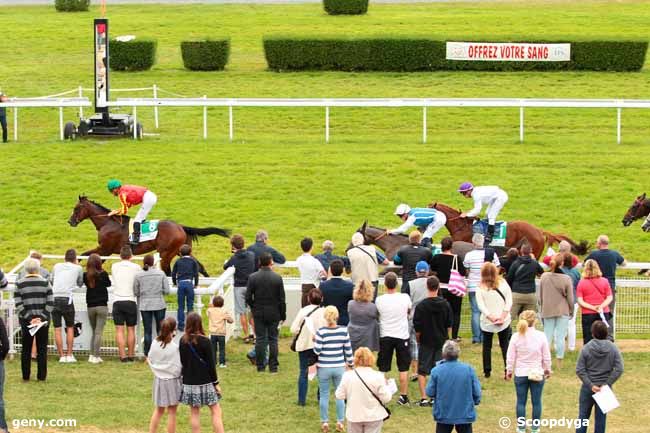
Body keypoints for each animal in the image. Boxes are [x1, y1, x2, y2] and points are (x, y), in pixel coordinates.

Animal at [67, 196, 230, 274]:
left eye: (76, 208)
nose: (70, 221)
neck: (108, 223)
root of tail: (181, 227)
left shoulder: (105, 249)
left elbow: (88, 257)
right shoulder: (104, 249)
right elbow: (85, 255)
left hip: (166, 253)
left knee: (168, 271)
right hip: (181, 250)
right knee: (200, 266)